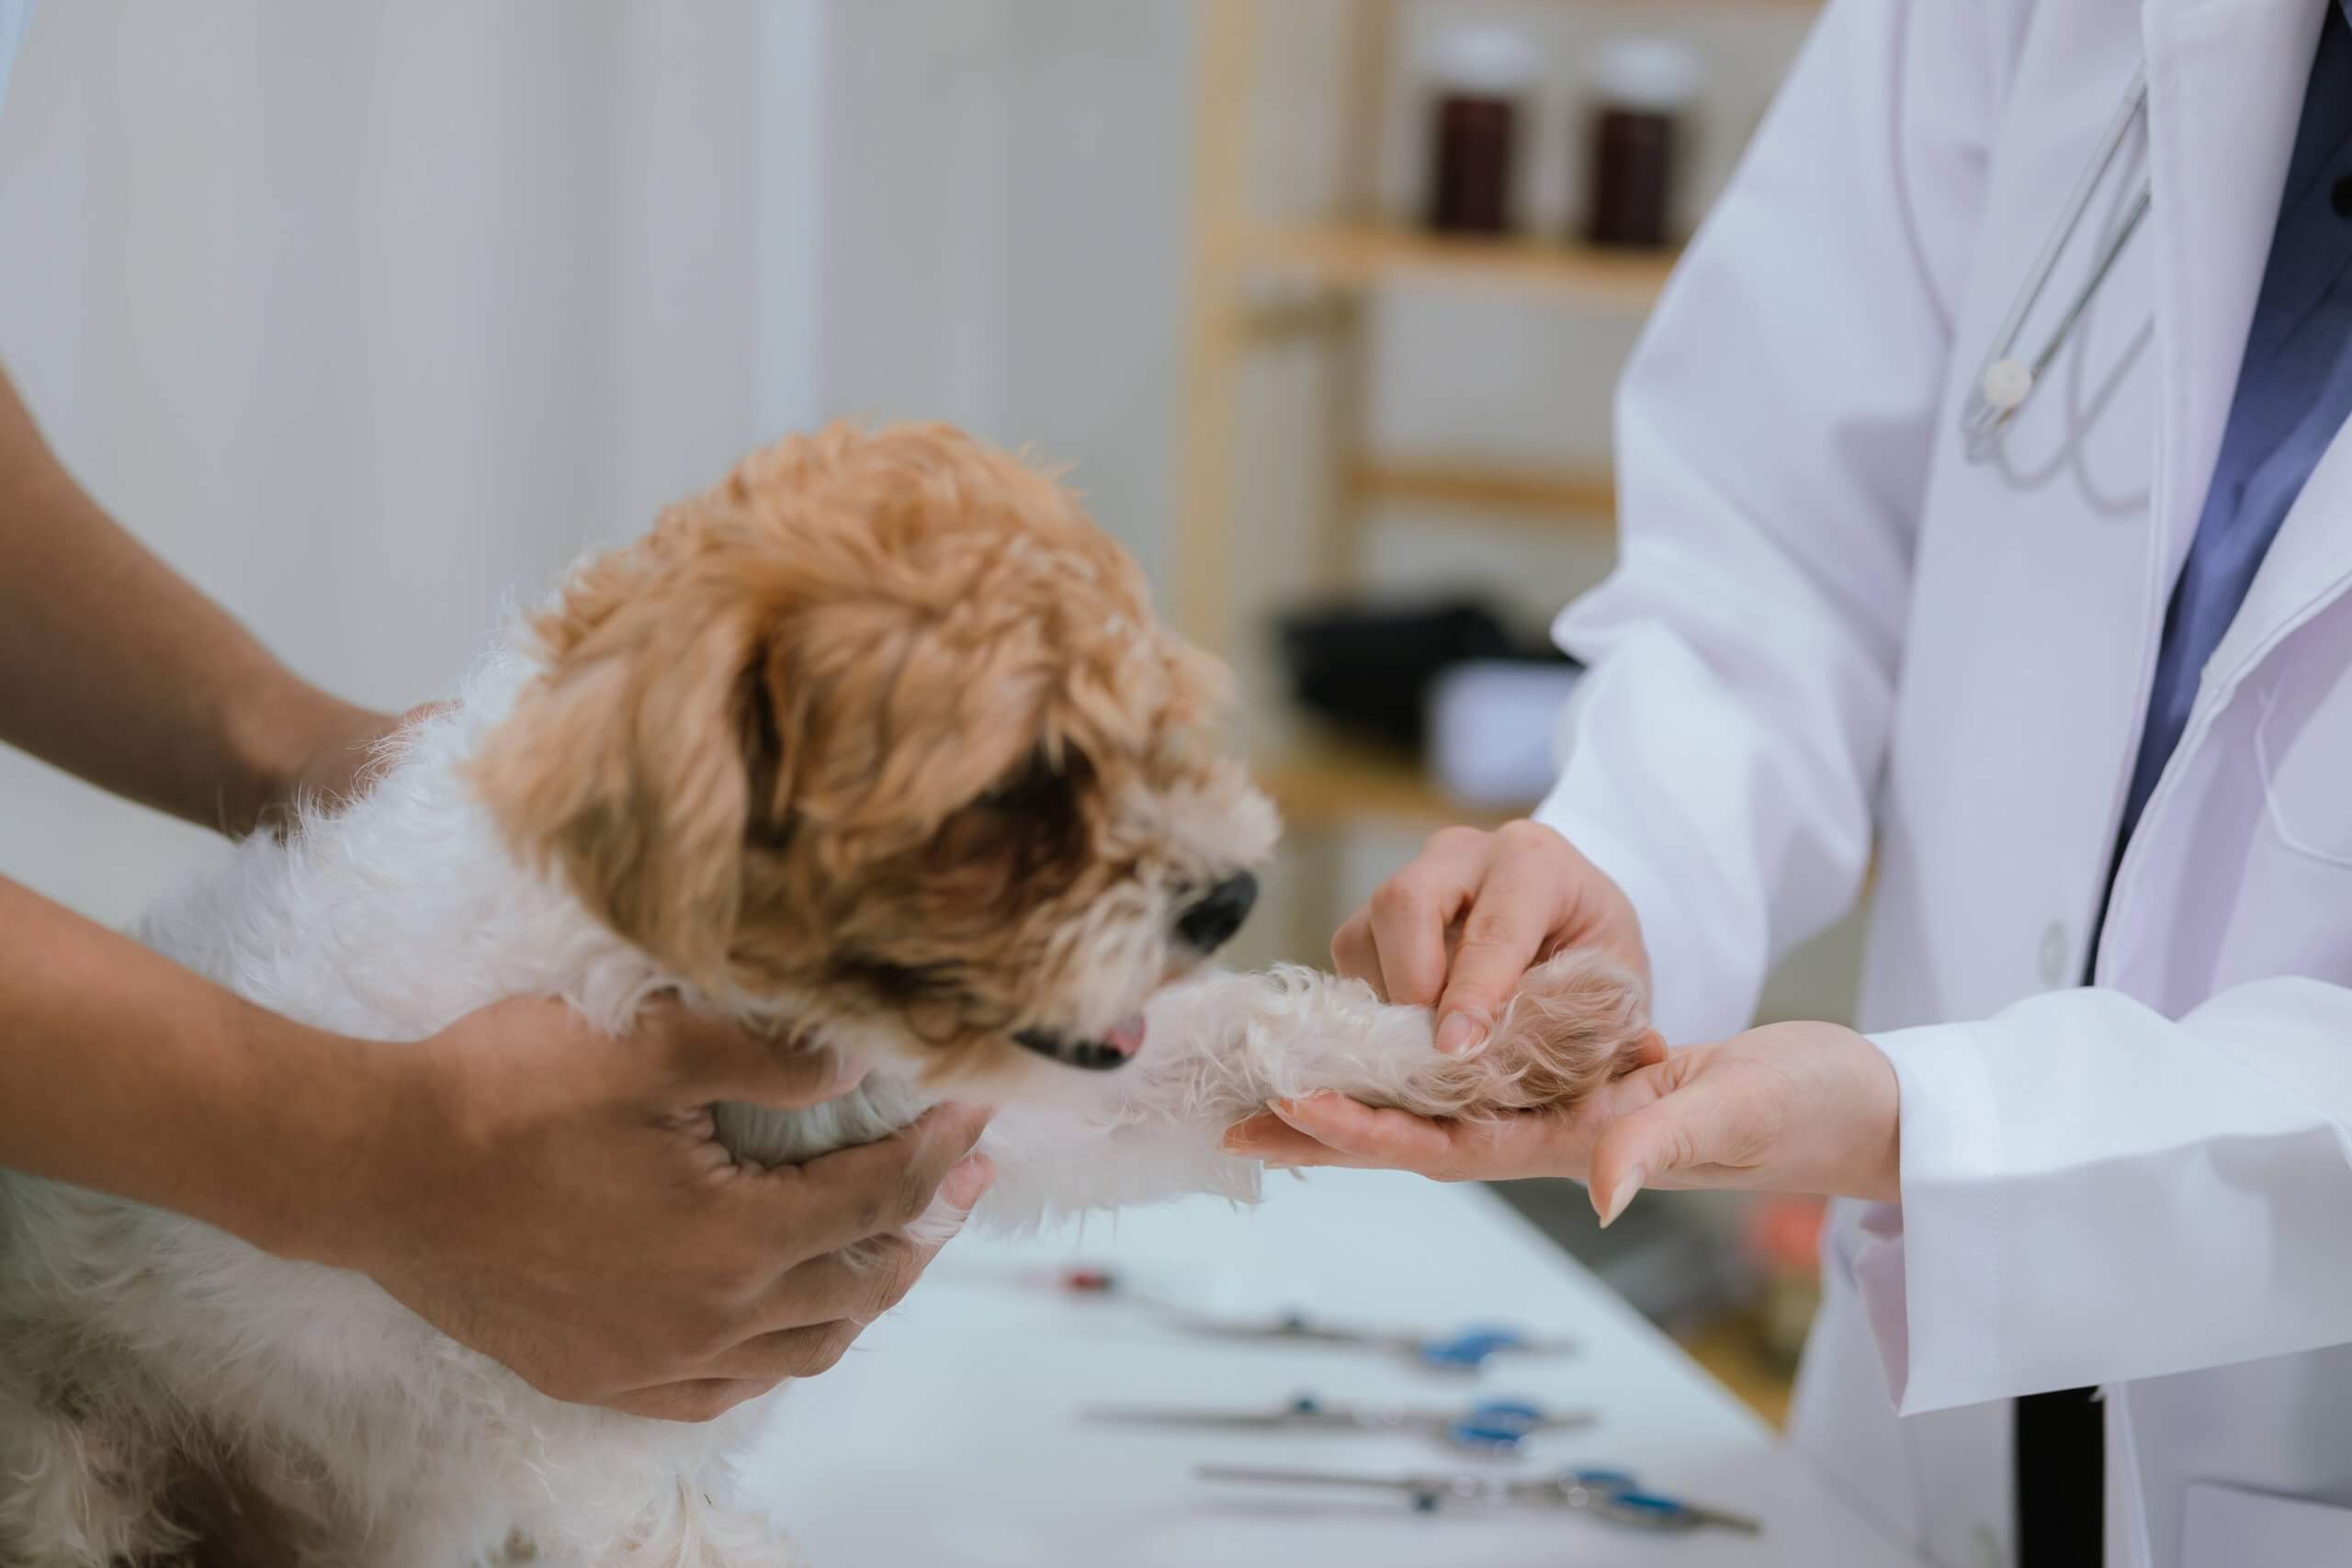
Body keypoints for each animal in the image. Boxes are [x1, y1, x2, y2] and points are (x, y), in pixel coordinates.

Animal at [0, 425, 1656, 1568]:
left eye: (1143, 723)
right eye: (1016, 788)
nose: (1229, 895)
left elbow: (1256, 1034)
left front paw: (1490, 1040)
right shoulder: (576, 1386)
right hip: (64, 1469)